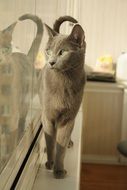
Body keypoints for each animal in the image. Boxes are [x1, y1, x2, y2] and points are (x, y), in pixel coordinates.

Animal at [39, 16, 86, 178]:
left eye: (63, 52)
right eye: (48, 51)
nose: (51, 62)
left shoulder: (68, 118)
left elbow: (61, 146)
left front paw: (58, 169)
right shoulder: (47, 116)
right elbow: (51, 141)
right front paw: (50, 162)